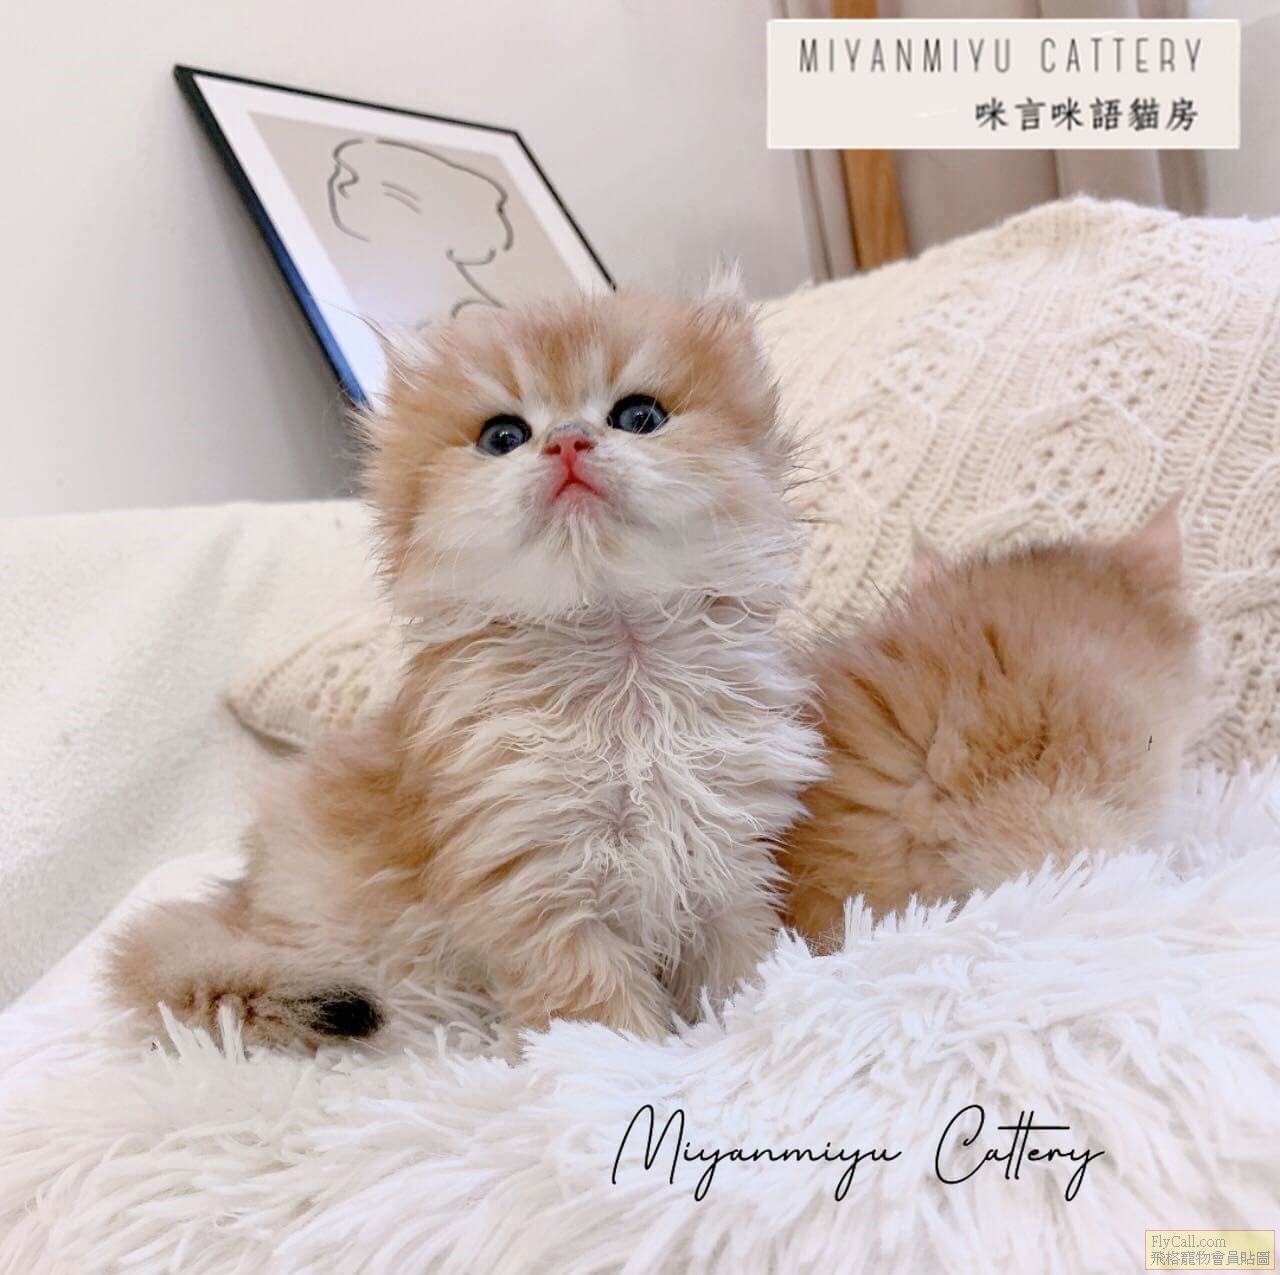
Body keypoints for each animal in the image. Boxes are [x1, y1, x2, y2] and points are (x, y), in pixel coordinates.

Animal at [107, 286, 827, 1048]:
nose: (568, 440)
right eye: (503, 436)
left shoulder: (723, 860)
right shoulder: (534, 889)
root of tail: (238, 903)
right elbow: (596, 1015)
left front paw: (756, 1026)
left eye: (639, 416)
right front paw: (629, 1058)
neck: (621, 677)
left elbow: (740, 972)